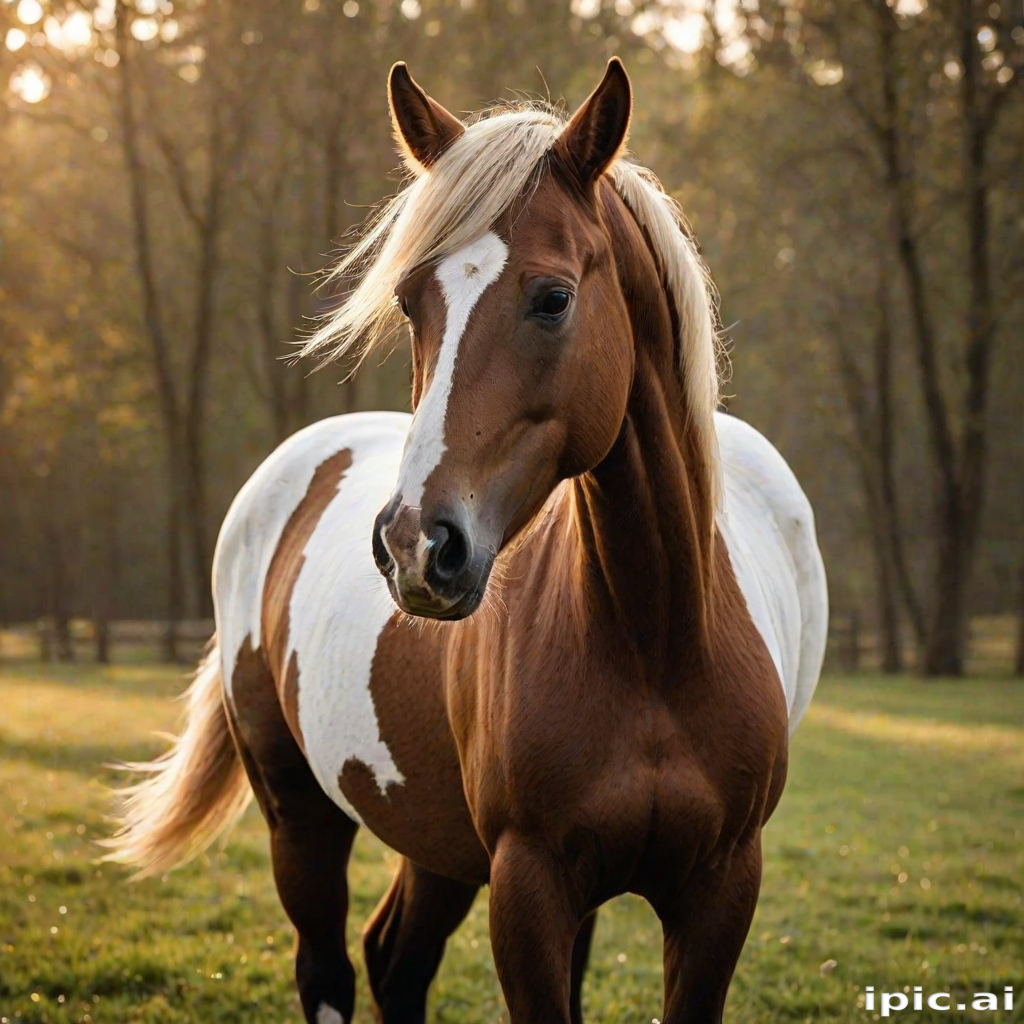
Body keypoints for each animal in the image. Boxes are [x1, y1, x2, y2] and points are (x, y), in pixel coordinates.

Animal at [106, 58, 828, 1024]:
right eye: (411, 302)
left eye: (553, 299)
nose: (415, 545)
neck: (657, 643)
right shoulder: (527, 885)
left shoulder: (720, 889)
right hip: (301, 813)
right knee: (332, 970)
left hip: (439, 844)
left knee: (394, 961)